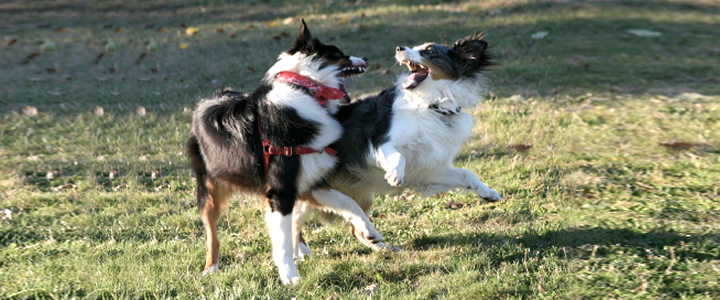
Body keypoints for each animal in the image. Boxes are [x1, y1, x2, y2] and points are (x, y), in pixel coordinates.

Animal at [186, 19, 372, 284]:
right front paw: (289, 277)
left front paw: (369, 231)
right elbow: (281, 241)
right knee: (211, 230)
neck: (304, 88)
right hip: (209, 187)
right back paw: (211, 266)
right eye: (338, 54)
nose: (365, 58)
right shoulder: (280, 189)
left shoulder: (310, 180)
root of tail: (208, 98)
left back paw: (301, 249)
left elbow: (349, 202)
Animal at [296, 32, 500, 253]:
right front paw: (394, 175)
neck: (433, 105)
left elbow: (466, 173)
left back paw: (383, 247)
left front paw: (488, 193)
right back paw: (301, 253)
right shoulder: (382, 143)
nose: (399, 48)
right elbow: (398, 155)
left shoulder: (427, 169)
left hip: (357, 195)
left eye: (429, 51)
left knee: (351, 229)